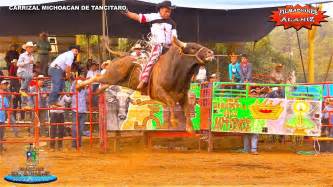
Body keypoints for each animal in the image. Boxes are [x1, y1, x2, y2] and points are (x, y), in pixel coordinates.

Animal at [75, 37, 214, 129]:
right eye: (193, 48)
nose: (211, 52)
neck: (173, 70)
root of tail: (122, 57)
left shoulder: (183, 95)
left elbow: (185, 108)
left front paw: (190, 128)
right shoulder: (158, 92)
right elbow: (171, 102)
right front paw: (174, 122)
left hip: (115, 80)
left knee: (103, 83)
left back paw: (97, 90)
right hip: (111, 75)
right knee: (97, 76)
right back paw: (78, 86)